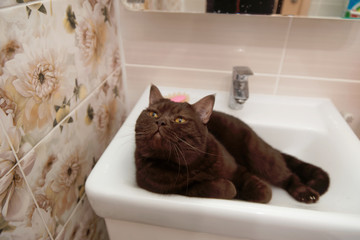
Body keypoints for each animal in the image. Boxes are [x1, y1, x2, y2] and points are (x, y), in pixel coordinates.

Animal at [134, 85, 330, 203]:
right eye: (153, 114)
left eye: (179, 119)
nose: (160, 122)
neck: (190, 164)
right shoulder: (174, 189)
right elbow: (222, 187)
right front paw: (234, 192)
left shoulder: (237, 169)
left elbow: (261, 191)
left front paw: (251, 193)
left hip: (260, 156)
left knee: (289, 175)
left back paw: (305, 193)